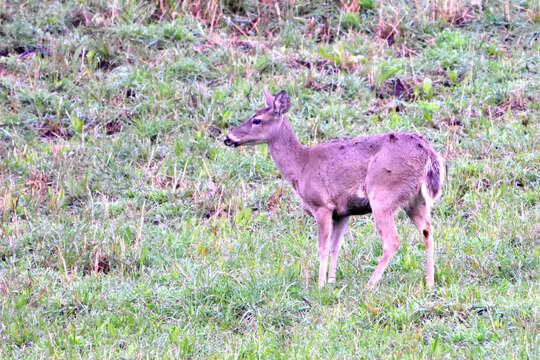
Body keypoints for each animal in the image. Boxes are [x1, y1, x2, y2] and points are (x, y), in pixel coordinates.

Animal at [223, 90, 442, 290]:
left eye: (257, 120)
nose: (228, 138)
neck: (301, 166)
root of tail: (428, 153)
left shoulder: (322, 205)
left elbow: (322, 247)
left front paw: (320, 285)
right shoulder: (343, 212)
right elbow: (335, 246)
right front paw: (331, 281)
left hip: (383, 195)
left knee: (392, 241)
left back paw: (370, 285)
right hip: (416, 200)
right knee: (427, 230)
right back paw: (430, 282)